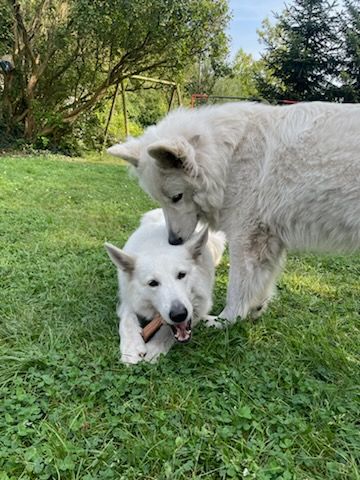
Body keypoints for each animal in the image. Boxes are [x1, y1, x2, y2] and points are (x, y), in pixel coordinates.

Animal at [104, 210, 225, 364]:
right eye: (153, 283)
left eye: (181, 275)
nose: (179, 315)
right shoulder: (127, 299)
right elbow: (127, 320)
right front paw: (131, 349)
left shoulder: (200, 306)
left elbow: (167, 330)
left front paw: (154, 348)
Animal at [107, 102, 360, 324]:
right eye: (160, 200)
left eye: (177, 197)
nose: (173, 241)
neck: (228, 159)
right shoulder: (269, 239)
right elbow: (262, 280)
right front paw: (256, 308)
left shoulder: (245, 239)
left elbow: (237, 287)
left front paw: (225, 320)